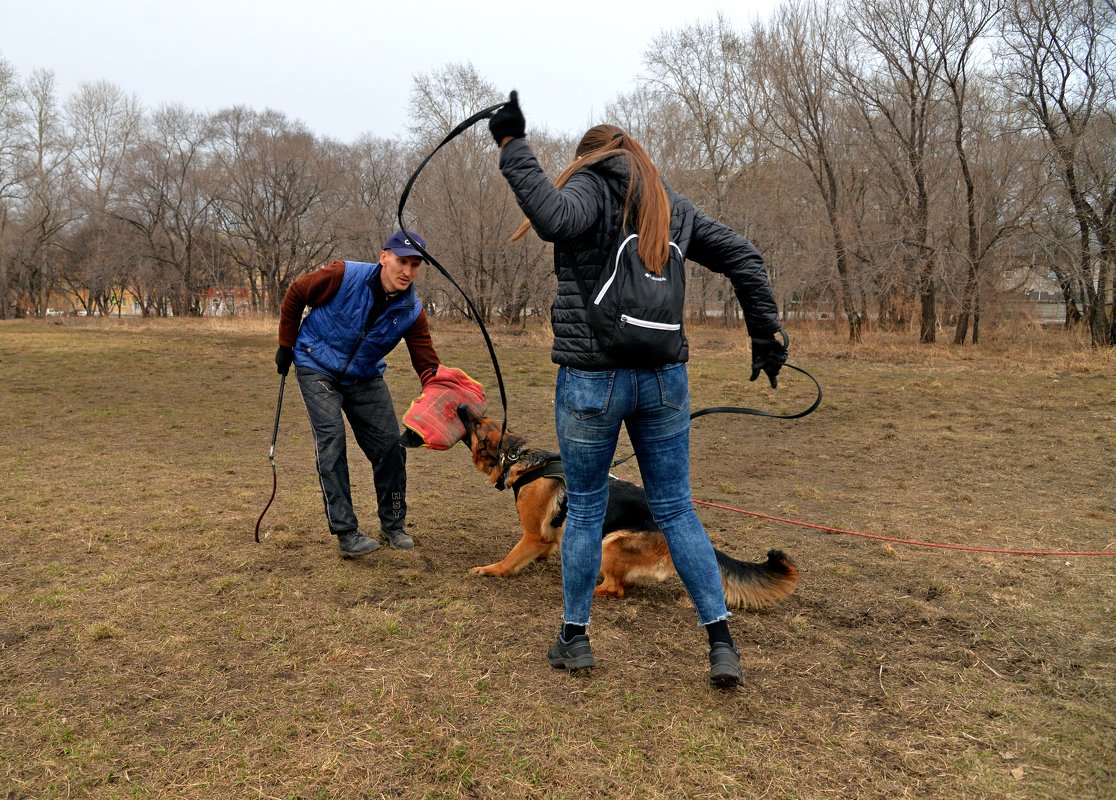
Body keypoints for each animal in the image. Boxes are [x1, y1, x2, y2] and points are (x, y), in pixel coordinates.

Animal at [457, 408, 799, 606]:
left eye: (476, 422)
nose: (461, 407)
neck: (519, 459)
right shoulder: (549, 535)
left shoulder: (532, 535)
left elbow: (509, 559)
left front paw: (490, 570)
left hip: (610, 542)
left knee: (615, 589)